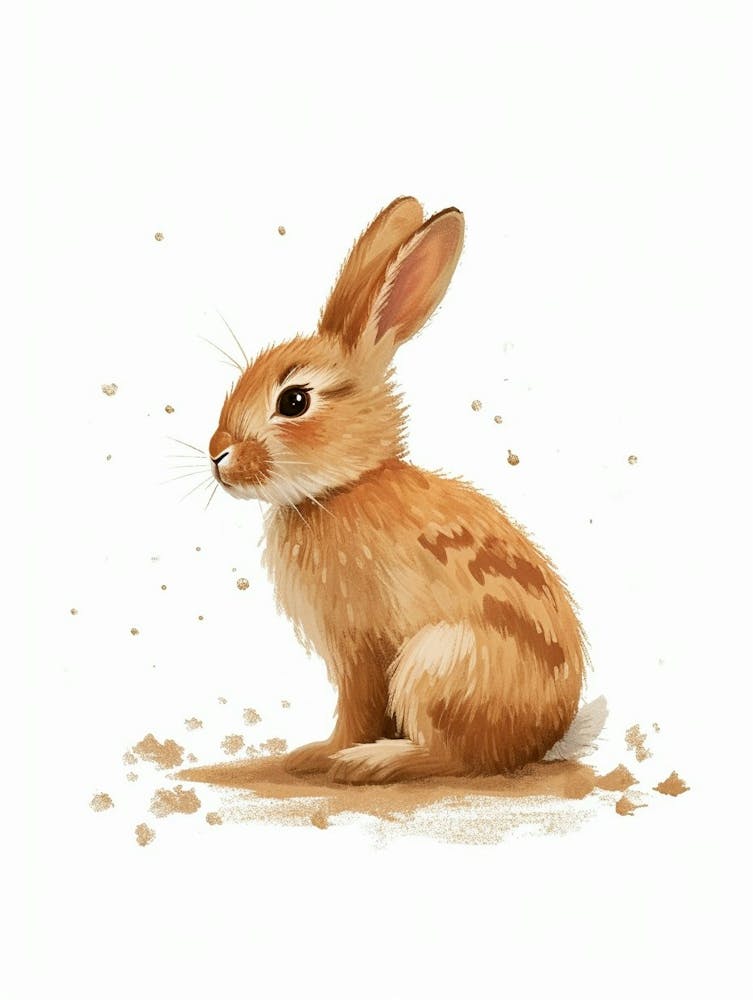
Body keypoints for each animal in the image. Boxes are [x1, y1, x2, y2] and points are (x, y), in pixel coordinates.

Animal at [207, 196, 592, 784]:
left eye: (294, 401)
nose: (216, 455)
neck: (345, 487)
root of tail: (539, 740)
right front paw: (312, 755)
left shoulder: (359, 652)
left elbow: (356, 709)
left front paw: (324, 755)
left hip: (434, 664)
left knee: (455, 758)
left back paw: (372, 762)